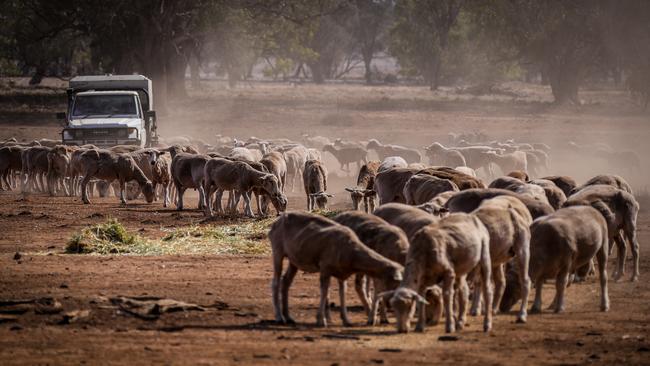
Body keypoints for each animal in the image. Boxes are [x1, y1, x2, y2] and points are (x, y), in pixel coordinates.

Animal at [268, 210, 400, 328]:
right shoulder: (325, 269)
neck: (353, 252)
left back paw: (288, 317)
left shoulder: (342, 274)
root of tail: (276, 221)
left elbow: (342, 293)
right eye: (397, 282)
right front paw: (321, 320)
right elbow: (325, 291)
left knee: (286, 282)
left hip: (294, 260)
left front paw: (346, 320)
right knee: (275, 283)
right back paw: (279, 317)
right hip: (278, 252)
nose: (393, 304)